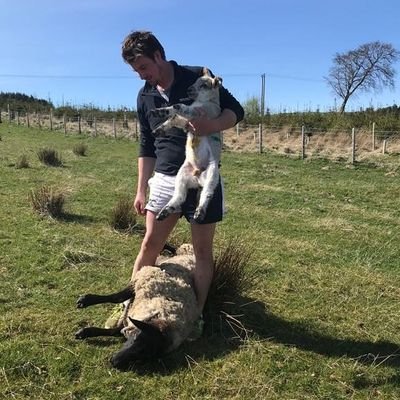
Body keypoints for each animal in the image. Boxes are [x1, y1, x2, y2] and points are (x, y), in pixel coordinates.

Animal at [75, 242, 200, 370]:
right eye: (135, 339)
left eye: (144, 356)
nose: (114, 362)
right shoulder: (140, 282)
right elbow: (117, 297)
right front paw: (85, 300)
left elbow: (113, 331)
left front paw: (85, 332)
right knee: (176, 249)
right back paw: (165, 246)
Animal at [152, 65, 223, 222]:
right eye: (195, 81)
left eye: (204, 85)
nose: (189, 89)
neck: (204, 102)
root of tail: (197, 178)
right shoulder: (186, 122)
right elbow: (173, 118)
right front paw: (158, 123)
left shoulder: (200, 114)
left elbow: (179, 107)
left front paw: (164, 112)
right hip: (181, 175)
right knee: (179, 196)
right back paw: (164, 211)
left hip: (212, 175)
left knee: (206, 195)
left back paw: (199, 213)